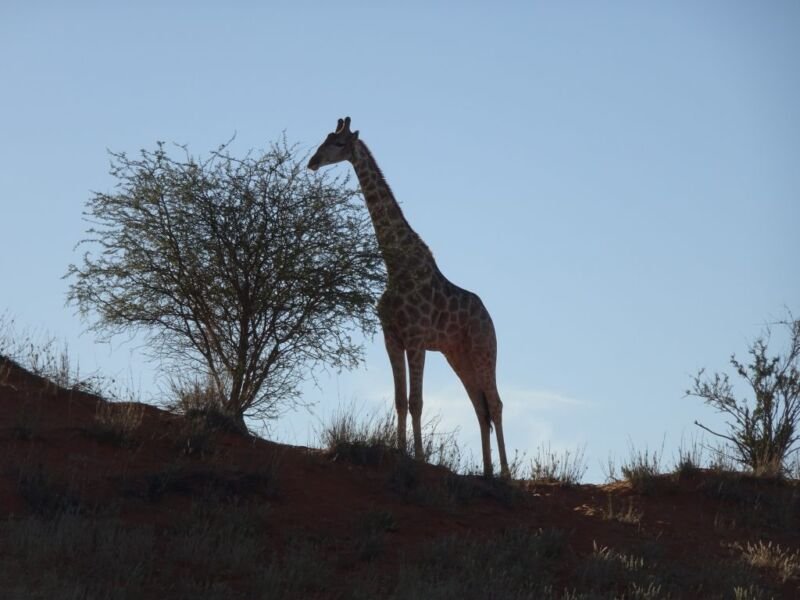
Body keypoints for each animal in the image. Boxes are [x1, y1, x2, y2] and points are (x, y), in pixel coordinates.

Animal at [308, 117, 510, 478]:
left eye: (339, 144)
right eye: (324, 139)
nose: (312, 162)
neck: (396, 266)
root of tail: (490, 318)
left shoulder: (415, 338)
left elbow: (417, 401)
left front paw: (418, 457)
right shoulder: (391, 337)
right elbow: (400, 400)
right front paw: (401, 451)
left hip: (484, 349)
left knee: (496, 403)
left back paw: (506, 475)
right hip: (458, 354)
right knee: (480, 406)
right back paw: (487, 472)